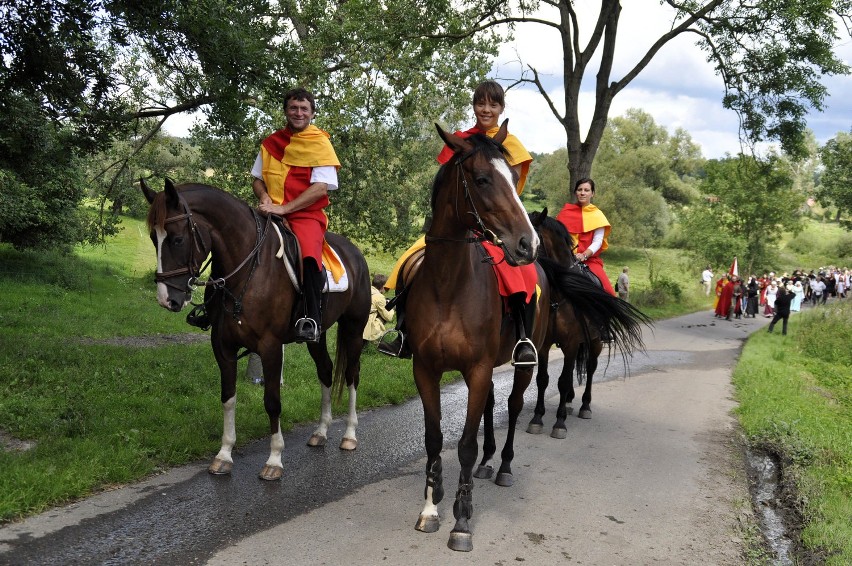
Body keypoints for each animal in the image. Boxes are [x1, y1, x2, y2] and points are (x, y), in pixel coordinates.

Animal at [141, 180, 372, 482]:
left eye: (177, 239)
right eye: (153, 238)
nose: (167, 299)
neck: (248, 270)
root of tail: (356, 254)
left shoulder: (271, 347)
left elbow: (272, 401)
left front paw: (274, 459)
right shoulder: (223, 347)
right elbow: (228, 398)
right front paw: (224, 455)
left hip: (354, 330)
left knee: (352, 375)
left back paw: (349, 435)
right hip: (316, 336)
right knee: (325, 371)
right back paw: (321, 432)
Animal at [402, 122, 548, 552]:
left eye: (515, 177)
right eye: (482, 179)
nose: (528, 244)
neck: (448, 286)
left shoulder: (480, 369)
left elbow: (464, 444)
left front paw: (462, 520)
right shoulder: (426, 370)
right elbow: (434, 439)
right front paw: (430, 508)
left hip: (523, 363)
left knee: (513, 406)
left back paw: (502, 467)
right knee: (490, 408)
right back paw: (486, 464)